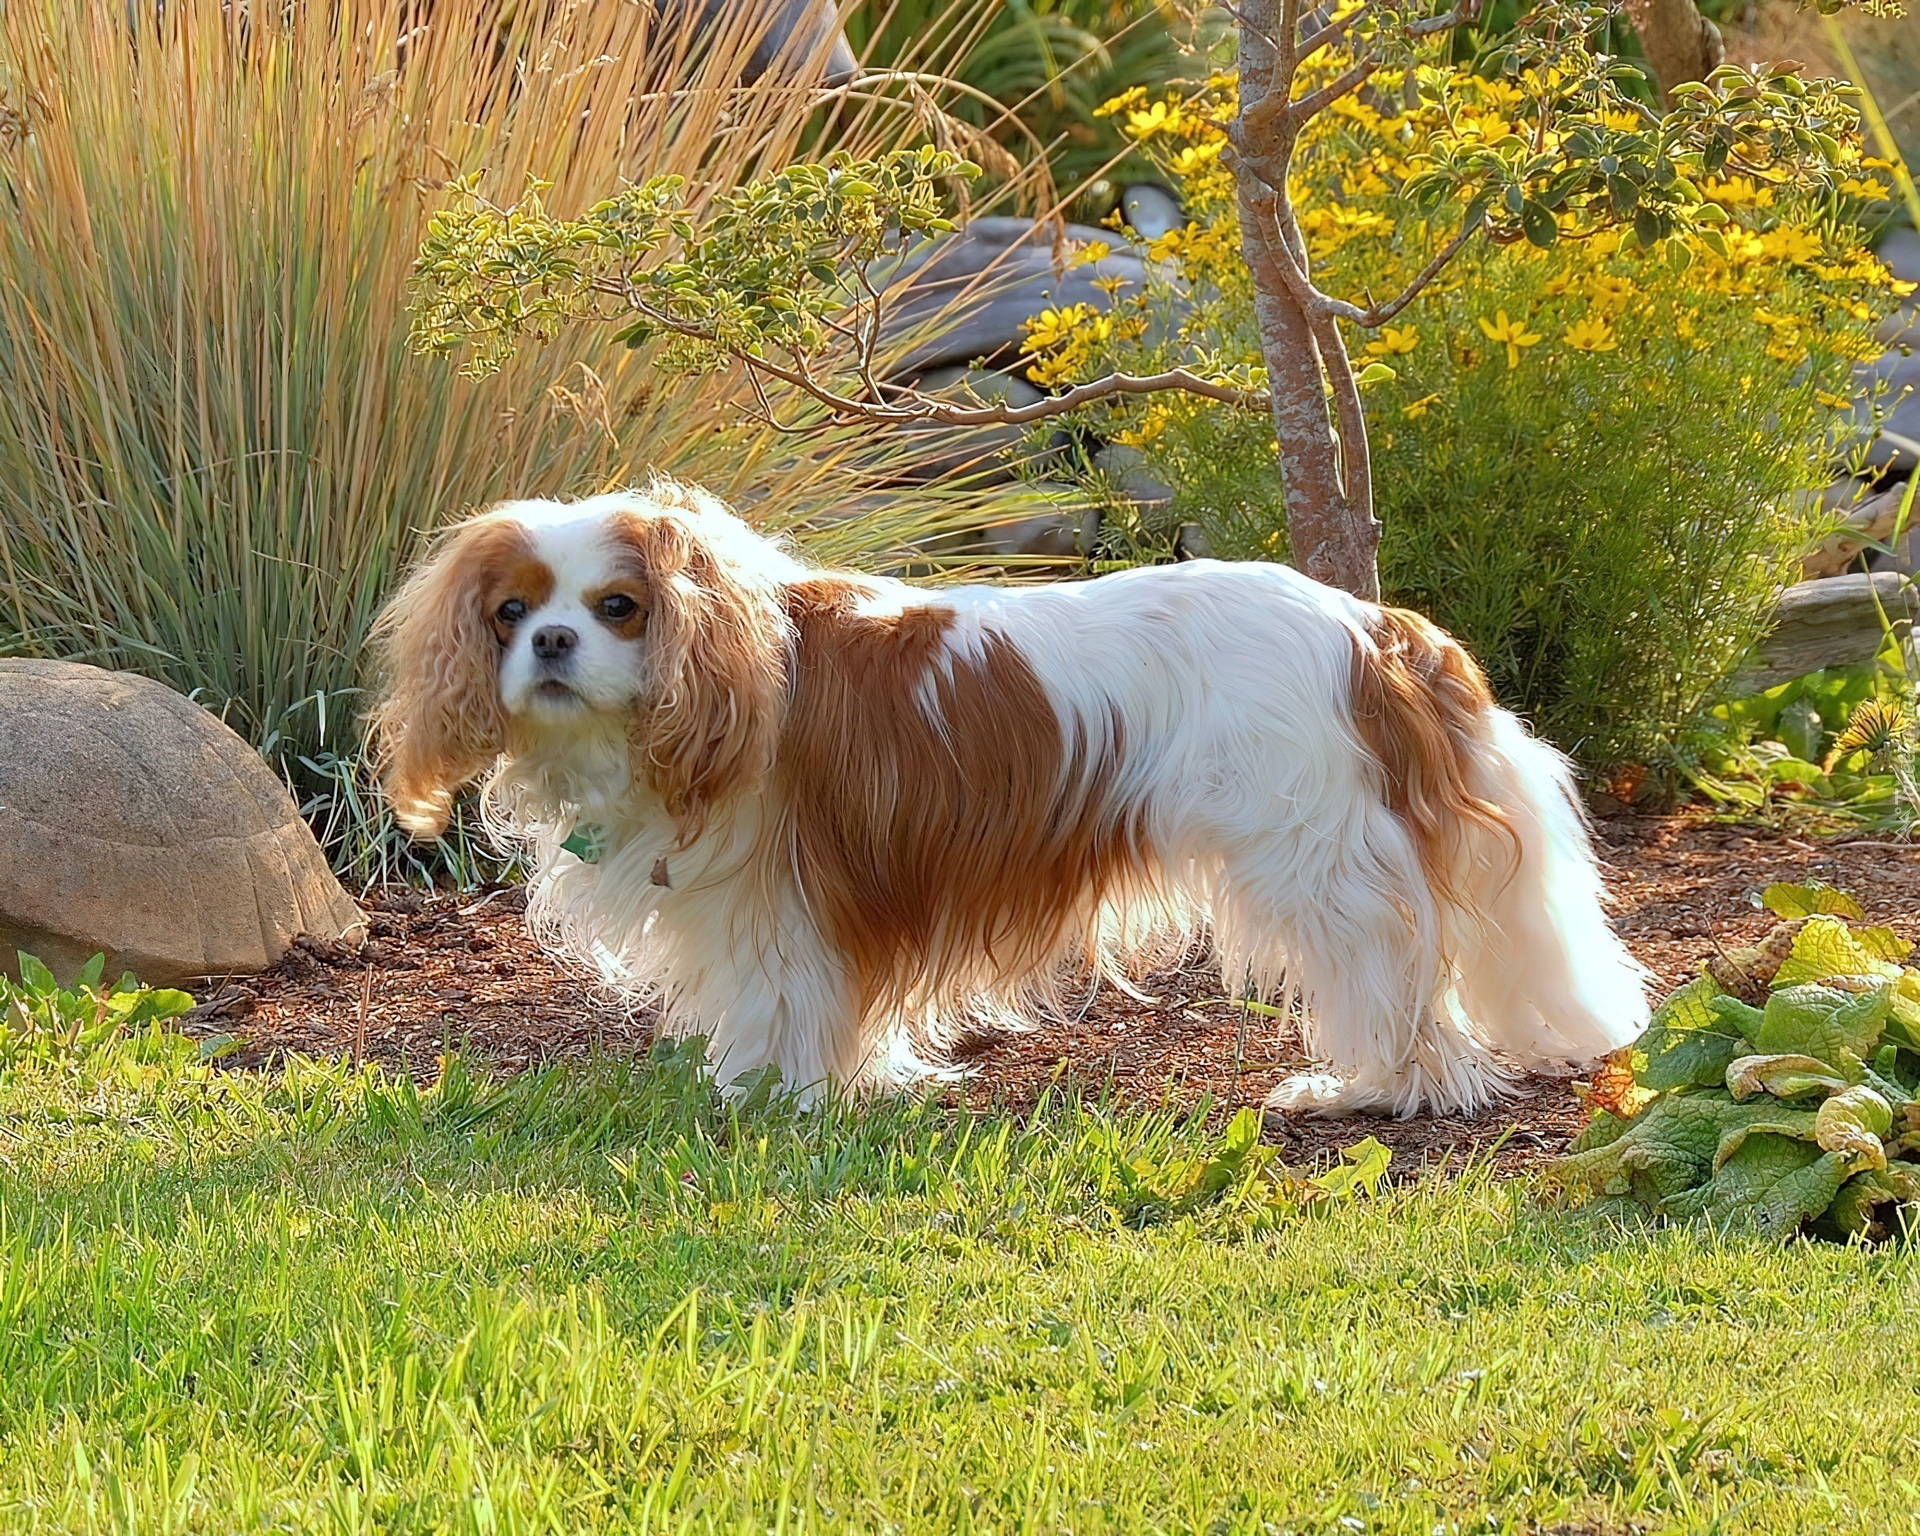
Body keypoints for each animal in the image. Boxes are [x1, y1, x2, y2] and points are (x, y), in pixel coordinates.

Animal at [374, 474, 1651, 1113]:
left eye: (619, 609)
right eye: (510, 611)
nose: (548, 643)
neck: (724, 667)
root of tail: (1374, 627)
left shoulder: (781, 902)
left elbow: (785, 1004)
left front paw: (768, 1095)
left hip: (1319, 860)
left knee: (1399, 995)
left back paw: (1368, 1091)